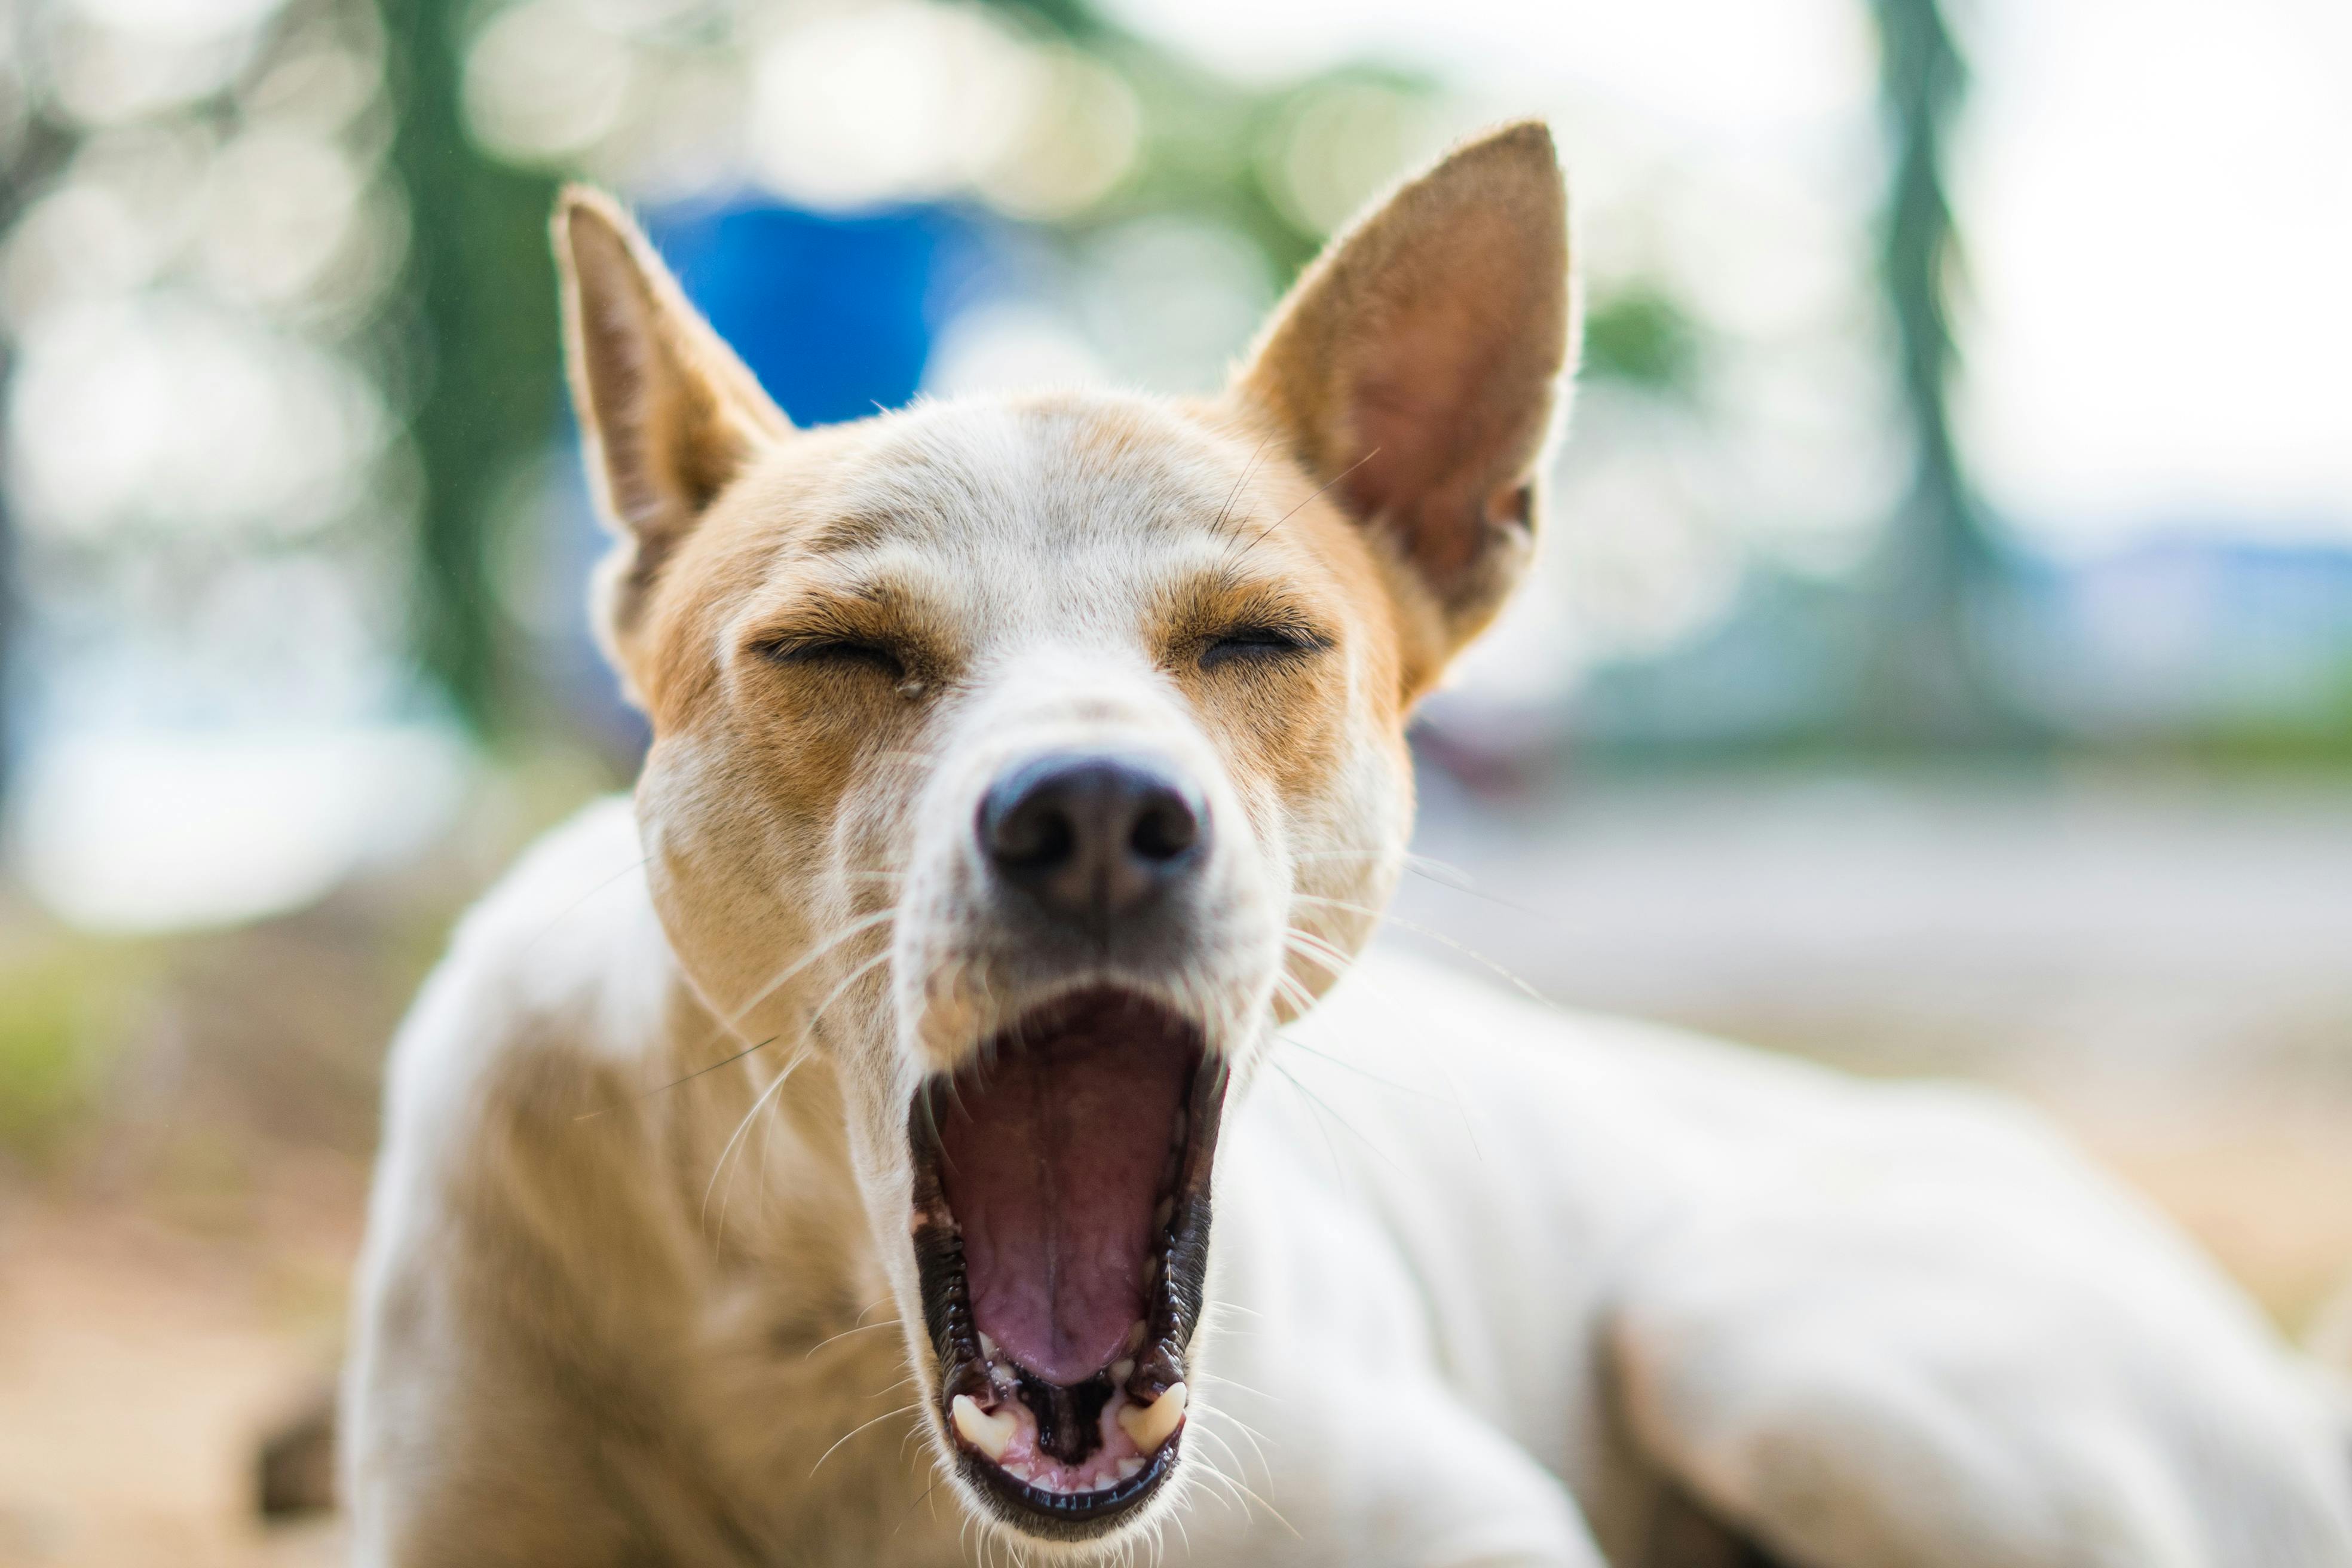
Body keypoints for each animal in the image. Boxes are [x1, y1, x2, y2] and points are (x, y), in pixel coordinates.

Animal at [343, 125, 2352, 1568]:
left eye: (1257, 641)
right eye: (831, 653)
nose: (1093, 814)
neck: (818, 1332)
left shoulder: (1470, 1524)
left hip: (1765, 1342)